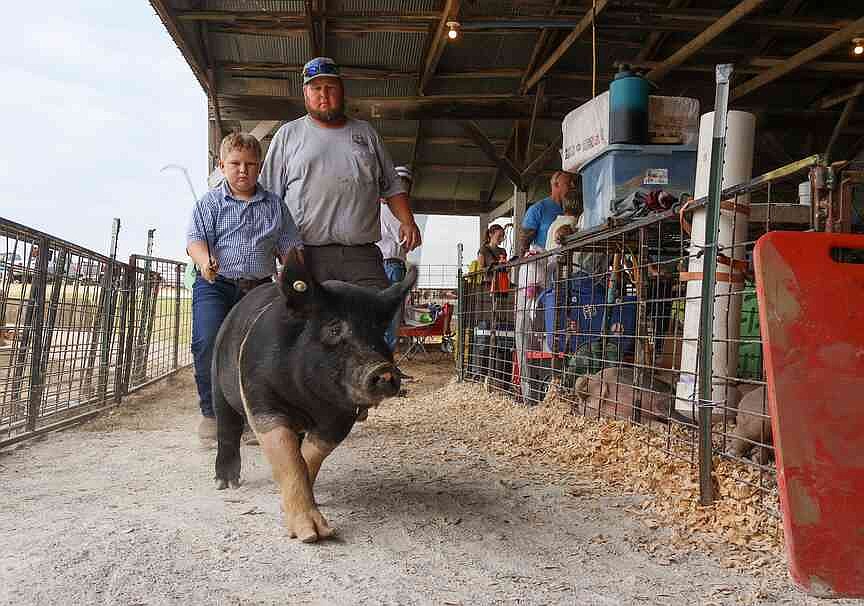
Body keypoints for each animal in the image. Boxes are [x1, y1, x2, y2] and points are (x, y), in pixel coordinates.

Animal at [211, 250, 416, 542]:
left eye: (379, 333)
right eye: (334, 329)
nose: (384, 371)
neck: (306, 397)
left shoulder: (340, 417)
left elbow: (308, 456)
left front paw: (319, 523)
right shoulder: (260, 398)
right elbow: (287, 456)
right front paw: (313, 535)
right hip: (217, 379)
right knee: (226, 427)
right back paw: (226, 483)